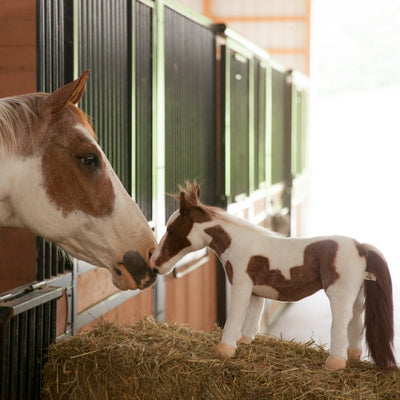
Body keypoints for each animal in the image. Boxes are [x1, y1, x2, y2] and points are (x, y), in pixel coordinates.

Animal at [151, 183, 396, 370]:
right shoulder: (255, 290)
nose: (154, 264)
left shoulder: (240, 286)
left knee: (341, 322)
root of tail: (360, 247)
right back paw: (352, 355)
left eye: (171, 230)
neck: (236, 243)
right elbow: (253, 315)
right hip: (356, 296)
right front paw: (244, 340)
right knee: (355, 322)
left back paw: (335, 362)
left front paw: (224, 349)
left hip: (339, 295)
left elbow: (235, 316)